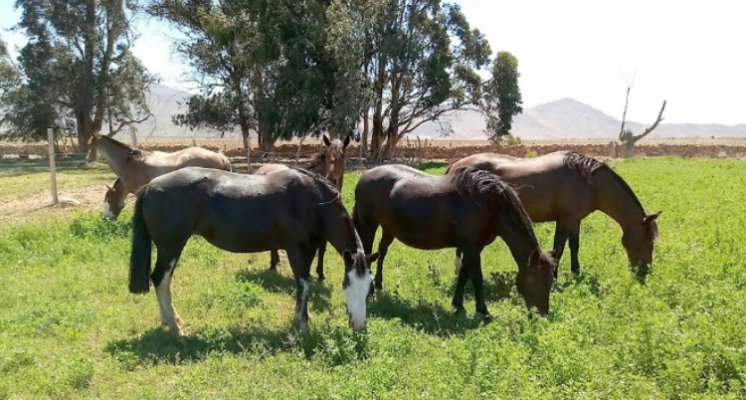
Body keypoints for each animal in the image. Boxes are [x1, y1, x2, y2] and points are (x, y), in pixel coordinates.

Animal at [125, 166, 378, 334]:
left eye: (369, 286)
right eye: (347, 285)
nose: (359, 326)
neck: (313, 201)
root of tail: (150, 186)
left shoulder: (310, 249)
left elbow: (303, 285)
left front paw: (300, 317)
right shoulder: (295, 249)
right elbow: (303, 284)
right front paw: (303, 325)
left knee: (163, 281)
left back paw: (172, 321)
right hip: (170, 247)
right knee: (160, 279)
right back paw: (175, 327)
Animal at [254, 134, 350, 278]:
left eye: (343, 156)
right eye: (329, 156)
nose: (333, 179)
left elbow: (322, 248)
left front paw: (320, 274)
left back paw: (276, 261)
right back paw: (273, 263)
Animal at [352, 164, 556, 318]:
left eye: (551, 280)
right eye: (538, 280)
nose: (543, 312)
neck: (489, 204)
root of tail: (364, 176)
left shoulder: (474, 247)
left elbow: (464, 274)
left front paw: (458, 305)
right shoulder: (471, 247)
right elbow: (476, 277)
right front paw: (483, 310)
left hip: (388, 229)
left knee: (382, 252)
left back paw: (378, 285)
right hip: (368, 226)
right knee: (368, 255)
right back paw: (368, 293)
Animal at [444, 151, 660, 278]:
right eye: (648, 242)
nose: (645, 271)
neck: (589, 182)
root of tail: (454, 166)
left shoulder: (575, 220)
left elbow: (574, 246)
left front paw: (575, 272)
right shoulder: (564, 220)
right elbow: (559, 248)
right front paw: (554, 276)